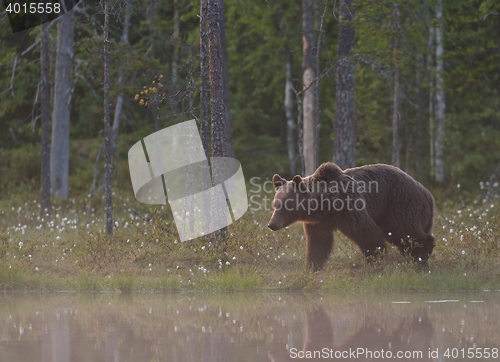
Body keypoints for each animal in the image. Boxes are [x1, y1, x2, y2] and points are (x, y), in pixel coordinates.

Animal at [268, 163, 436, 270]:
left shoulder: (348, 208)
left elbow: (367, 233)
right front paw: (312, 266)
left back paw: (422, 255)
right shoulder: (318, 222)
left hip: (398, 204)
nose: (271, 224)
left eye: (285, 205)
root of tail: (428, 194)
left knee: (404, 231)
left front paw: (375, 260)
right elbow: (318, 243)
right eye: (275, 204)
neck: (324, 206)